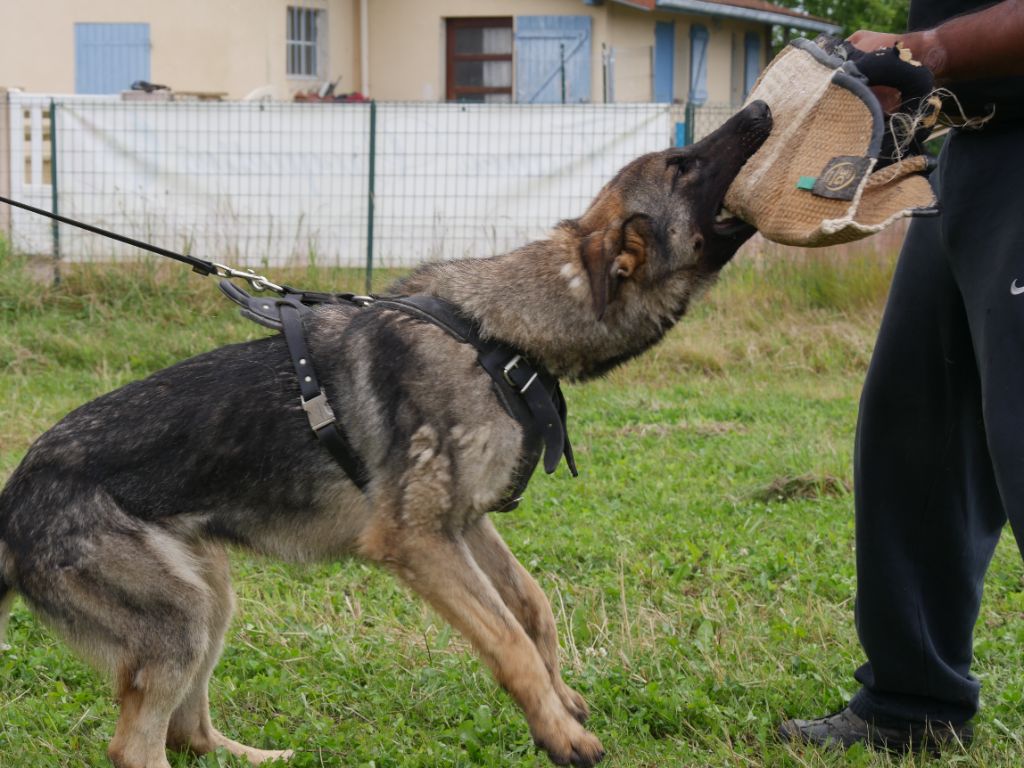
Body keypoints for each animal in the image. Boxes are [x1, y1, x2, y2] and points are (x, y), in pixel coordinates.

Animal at [0, 102, 770, 768]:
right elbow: (508, 640)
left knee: (188, 731)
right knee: (136, 746)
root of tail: (12, 505)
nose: (761, 110)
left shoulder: (464, 523)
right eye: (680, 164)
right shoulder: (417, 540)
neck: (498, 335)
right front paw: (558, 732)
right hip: (181, 616)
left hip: (210, 595)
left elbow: (532, 607)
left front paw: (563, 698)